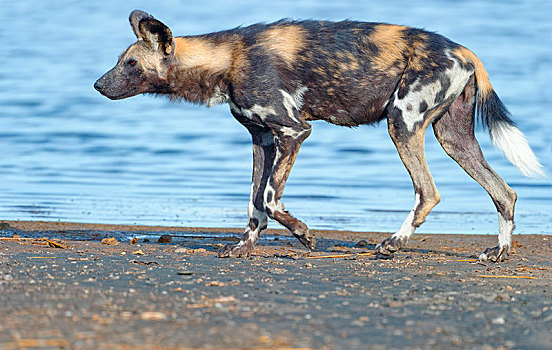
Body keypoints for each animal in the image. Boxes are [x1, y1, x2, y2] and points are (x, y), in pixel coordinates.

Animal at [95, 10, 544, 262]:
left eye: (131, 63)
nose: (98, 85)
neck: (227, 59)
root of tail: (466, 51)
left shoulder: (294, 131)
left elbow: (270, 199)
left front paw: (304, 234)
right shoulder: (263, 140)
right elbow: (254, 203)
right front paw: (243, 248)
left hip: (401, 123)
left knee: (428, 192)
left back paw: (392, 245)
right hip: (452, 138)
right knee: (504, 192)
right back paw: (500, 252)